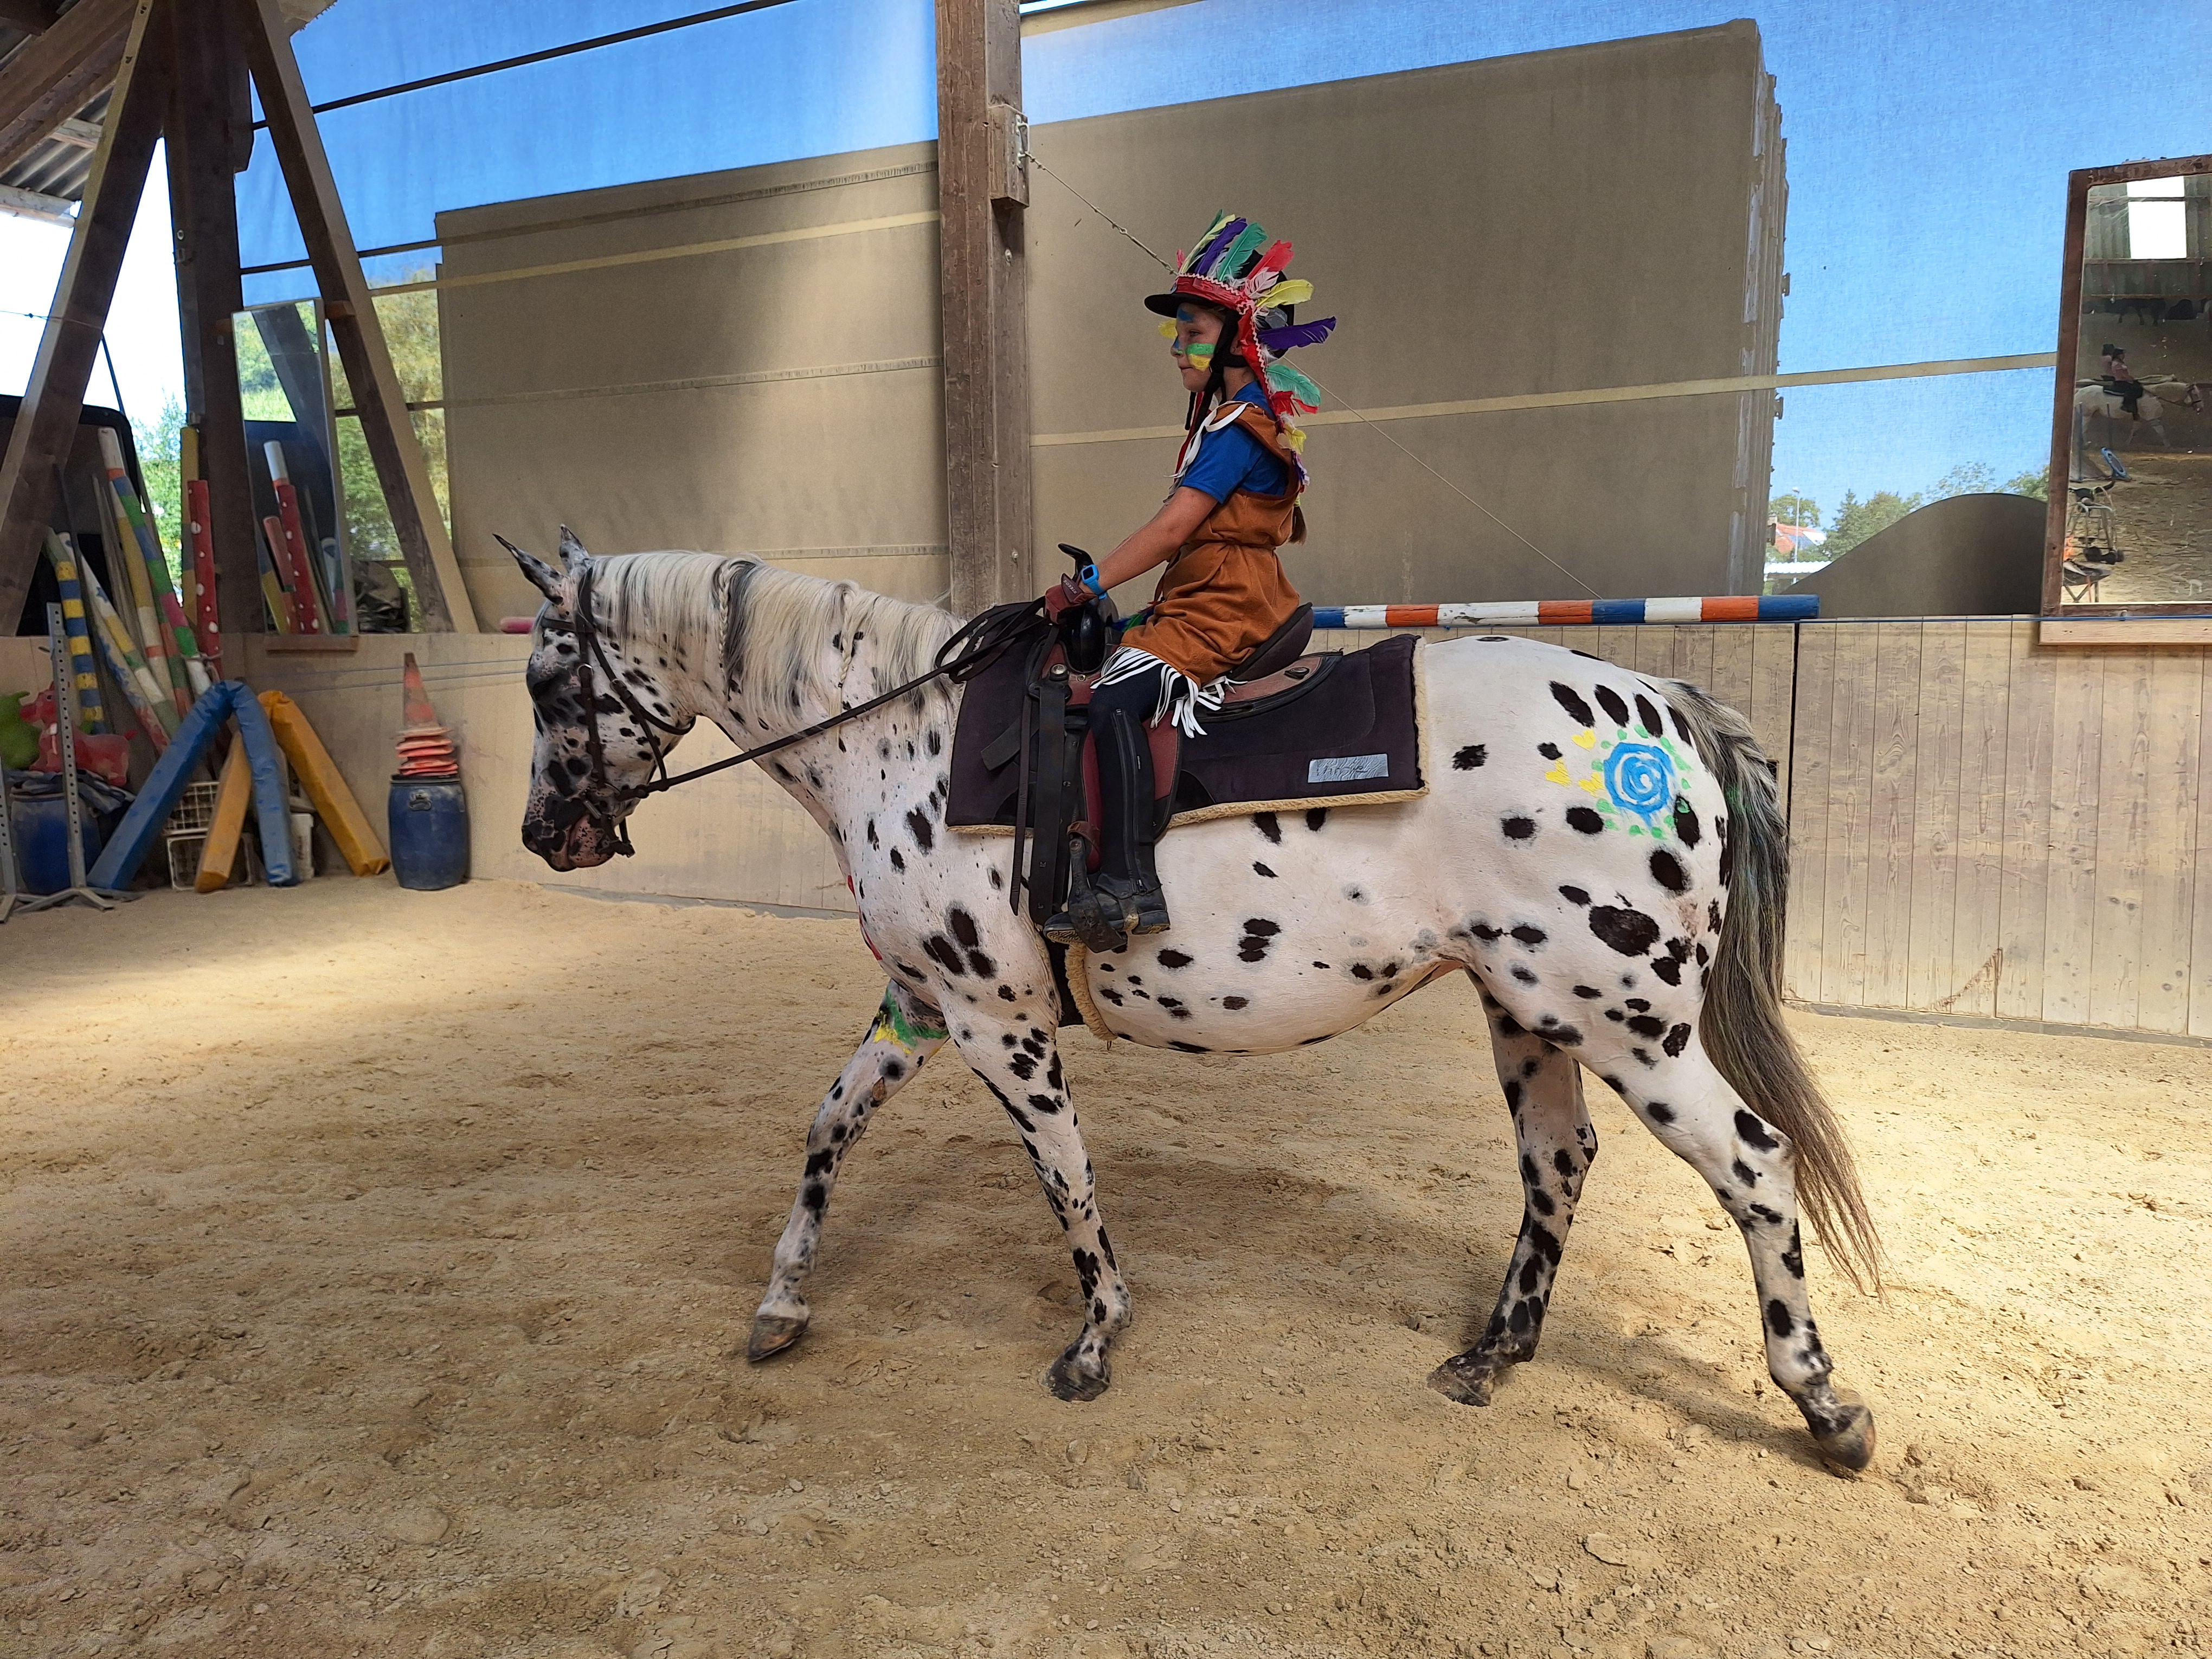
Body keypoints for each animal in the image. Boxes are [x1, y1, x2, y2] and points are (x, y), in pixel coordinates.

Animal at [507, 532, 1885, 1471]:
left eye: (544, 683)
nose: (541, 834)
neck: (899, 747)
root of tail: (1665, 711)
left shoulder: (995, 1021)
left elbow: (1064, 1175)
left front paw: (1096, 1338)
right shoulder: (919, 1005)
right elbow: (824, 1130)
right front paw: (782, 1304)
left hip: (1625, 1021)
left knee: (1753, 1164)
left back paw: (1822, 1402)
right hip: (1527, 1010)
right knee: (1558, 1162)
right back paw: (1492, 1354)